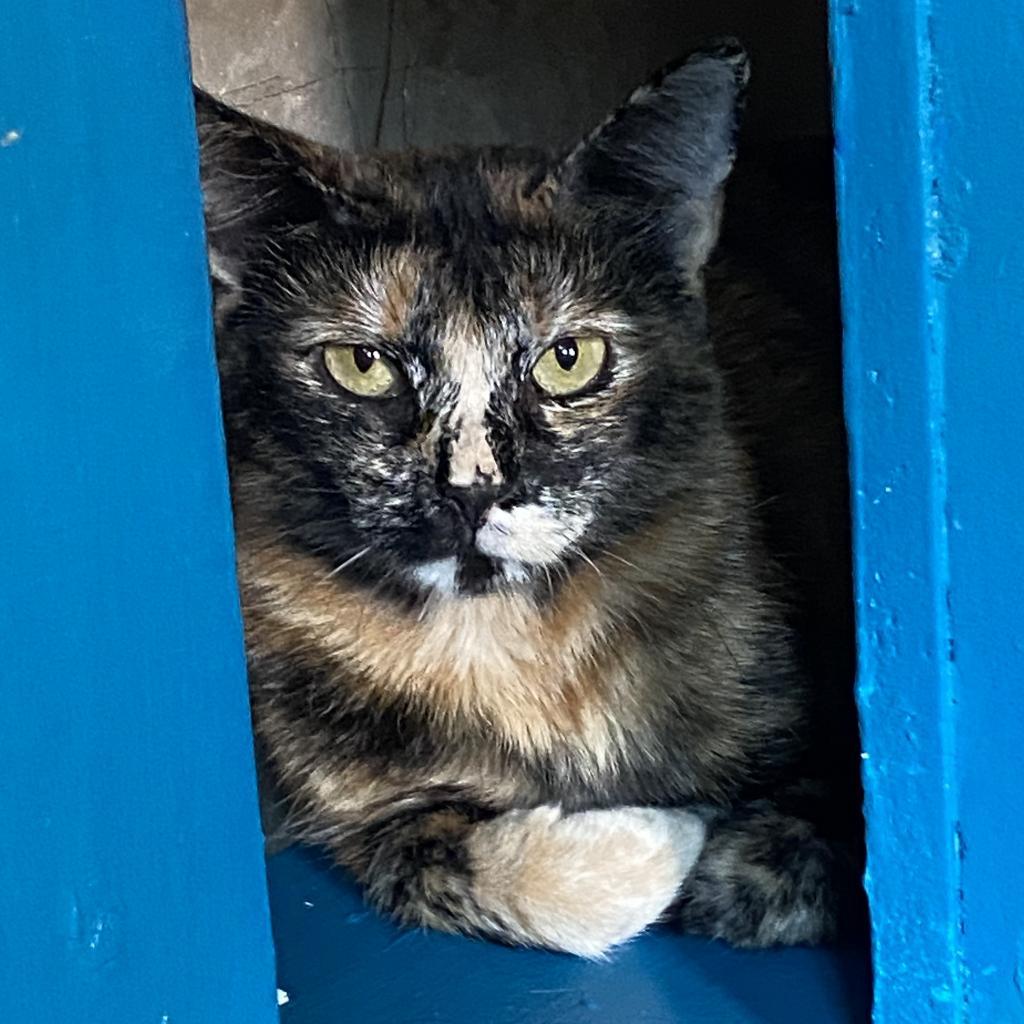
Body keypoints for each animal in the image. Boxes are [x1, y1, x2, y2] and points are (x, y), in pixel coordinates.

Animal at [193, 37, 864, 950]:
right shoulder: (360, 805)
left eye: (569, 358)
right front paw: (664, 834)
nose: (473, 491)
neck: (508, 647)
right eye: (360, 365)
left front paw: (730, 857)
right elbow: (457, 866)